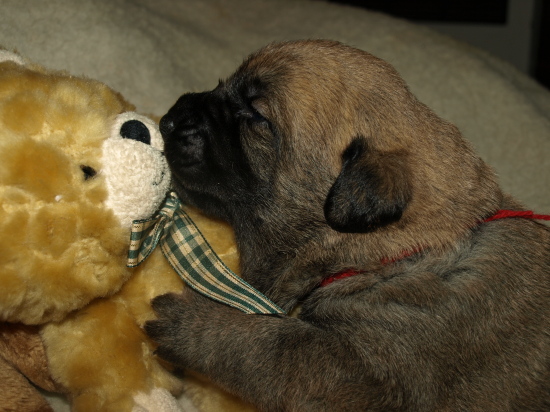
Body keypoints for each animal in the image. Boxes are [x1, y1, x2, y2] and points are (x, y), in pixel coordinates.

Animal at [147, 41, 550, 412]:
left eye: (258, 117)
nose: (169, 118)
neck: (386, 256)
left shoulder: (364, 373)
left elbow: (279, 347)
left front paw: (193, 322)